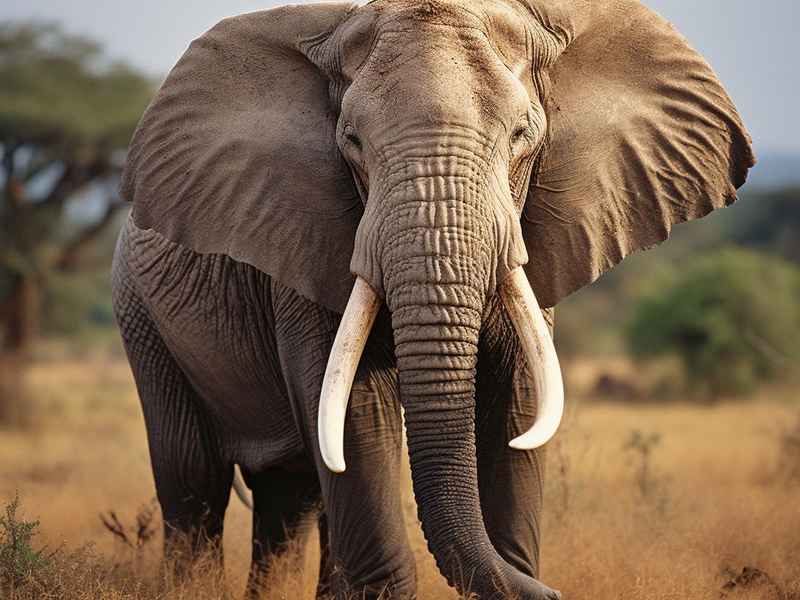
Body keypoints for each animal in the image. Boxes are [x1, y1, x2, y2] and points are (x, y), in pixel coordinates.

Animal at [111, 0, 753, 598]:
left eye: (522, 136)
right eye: (351, 141)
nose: (557, 593)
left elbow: (519, 398)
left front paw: (517, 567)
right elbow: (352, 413)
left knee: (288, 501)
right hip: (140, 316)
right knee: (193, 484)